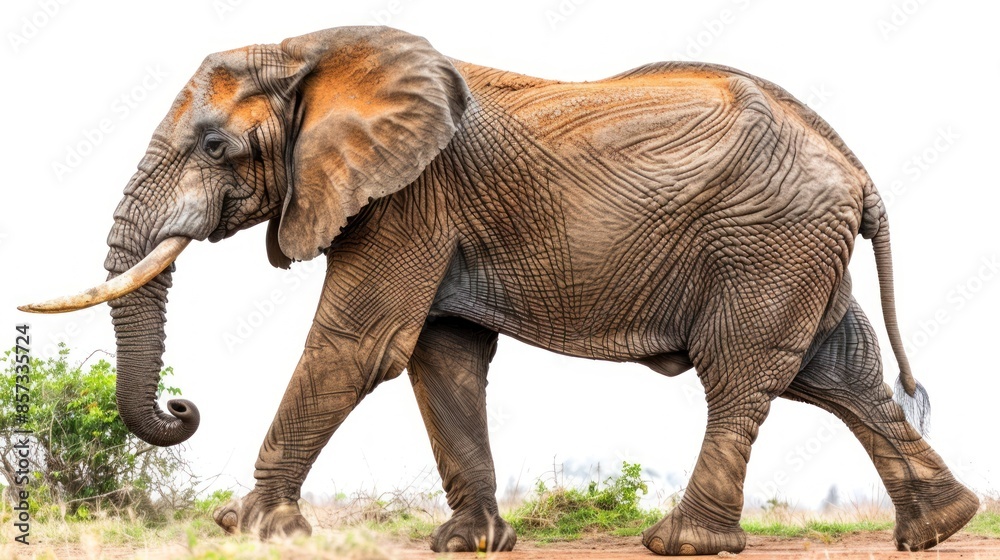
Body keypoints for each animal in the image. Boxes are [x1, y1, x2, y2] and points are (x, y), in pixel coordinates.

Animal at [21, 26, 978, 555]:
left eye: (215, 147)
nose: (182, 406)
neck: (312, 53)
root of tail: (859, 171)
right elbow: (440, 358)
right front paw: (469, 546)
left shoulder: (409, 198)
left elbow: (359, 347)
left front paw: (247, 528)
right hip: (796, 248)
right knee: (840, 373)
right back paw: (941, 527)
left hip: (767, 244)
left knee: (744, 374)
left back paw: (683, 546)